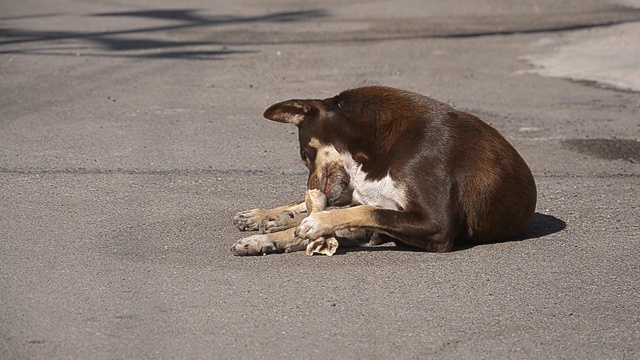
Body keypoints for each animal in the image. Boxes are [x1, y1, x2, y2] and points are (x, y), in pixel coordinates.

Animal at [230, 86, 536, 256]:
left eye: (305, 155)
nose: (312, 189)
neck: (372, 148)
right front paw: (263, 238)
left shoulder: (436, 224)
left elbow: (367, 211)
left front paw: (316, 223)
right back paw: (265, 216)